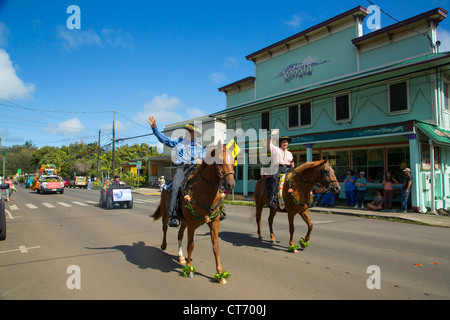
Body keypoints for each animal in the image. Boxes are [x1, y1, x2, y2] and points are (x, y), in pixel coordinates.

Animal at [151, 141, 236, 284]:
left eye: (233, 161)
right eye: (220, 161)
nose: (231, 185)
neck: (205, 192)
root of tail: (166, 184)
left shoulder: (214, 222)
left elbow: (216, 247)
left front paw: (220, 274)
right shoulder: (192, 224)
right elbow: (190, 246)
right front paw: (189, 269)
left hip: (184, 221)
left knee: (179, 234)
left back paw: (181, 257)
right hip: (166, 213)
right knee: (165, 228)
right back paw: (164, 245)